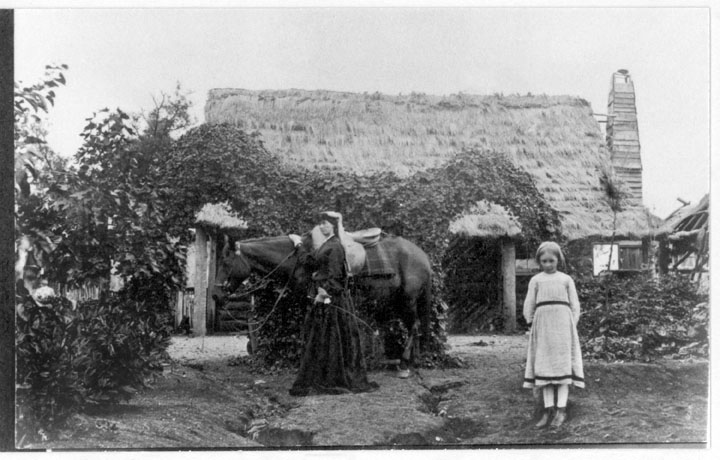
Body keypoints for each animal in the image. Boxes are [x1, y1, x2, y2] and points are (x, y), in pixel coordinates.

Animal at [214, 232, 434, 372]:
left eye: (225, 262)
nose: (215, 295)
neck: (299, 260)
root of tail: (423, 256)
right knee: (414, 327)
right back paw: (413, 360)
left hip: (408, 300)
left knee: (414, 326)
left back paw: (405, 363)